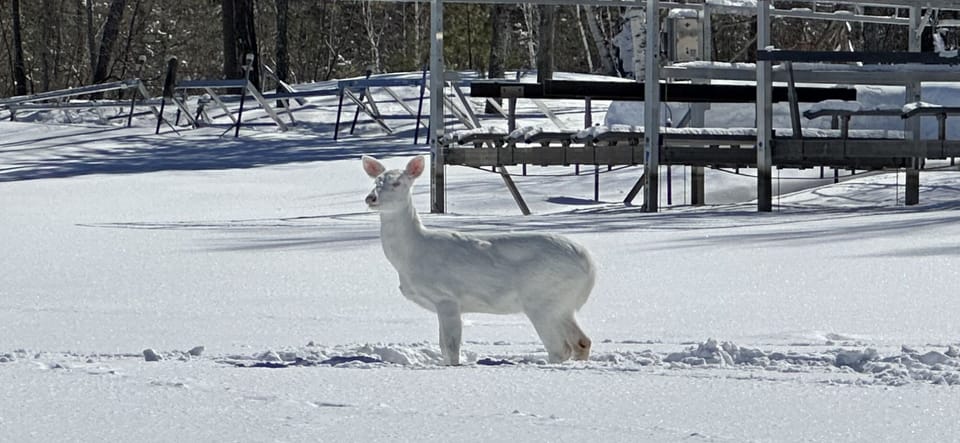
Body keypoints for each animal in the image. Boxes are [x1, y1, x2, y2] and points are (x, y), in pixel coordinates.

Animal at [362, 154, 595, 365]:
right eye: (376, 181)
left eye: (397, 183)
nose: (371, 198)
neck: (410, 255)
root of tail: (590, 266)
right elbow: (443, 346)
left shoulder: (446, 296)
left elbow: (450, 346)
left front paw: (453, 366)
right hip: (562, 304)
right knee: (582, 342)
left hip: (543, 298)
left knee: (560, 348)